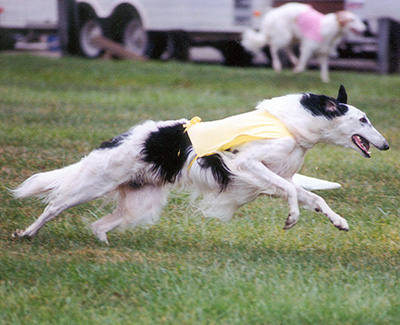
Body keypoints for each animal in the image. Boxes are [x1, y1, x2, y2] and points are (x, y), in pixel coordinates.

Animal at [11, 86, 388, 243]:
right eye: (363, 119)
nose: (386, 145)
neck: (292, 124)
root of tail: (122, 138)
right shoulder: (247, 165)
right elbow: (292, 194)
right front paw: (292, 218)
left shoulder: (272, 177)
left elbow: (315, 197)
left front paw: (339, 222)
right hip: (93, 184)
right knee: (54, 206)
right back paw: (26, 234)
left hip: (142, 203)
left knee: (98, 225)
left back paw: (103, 244)